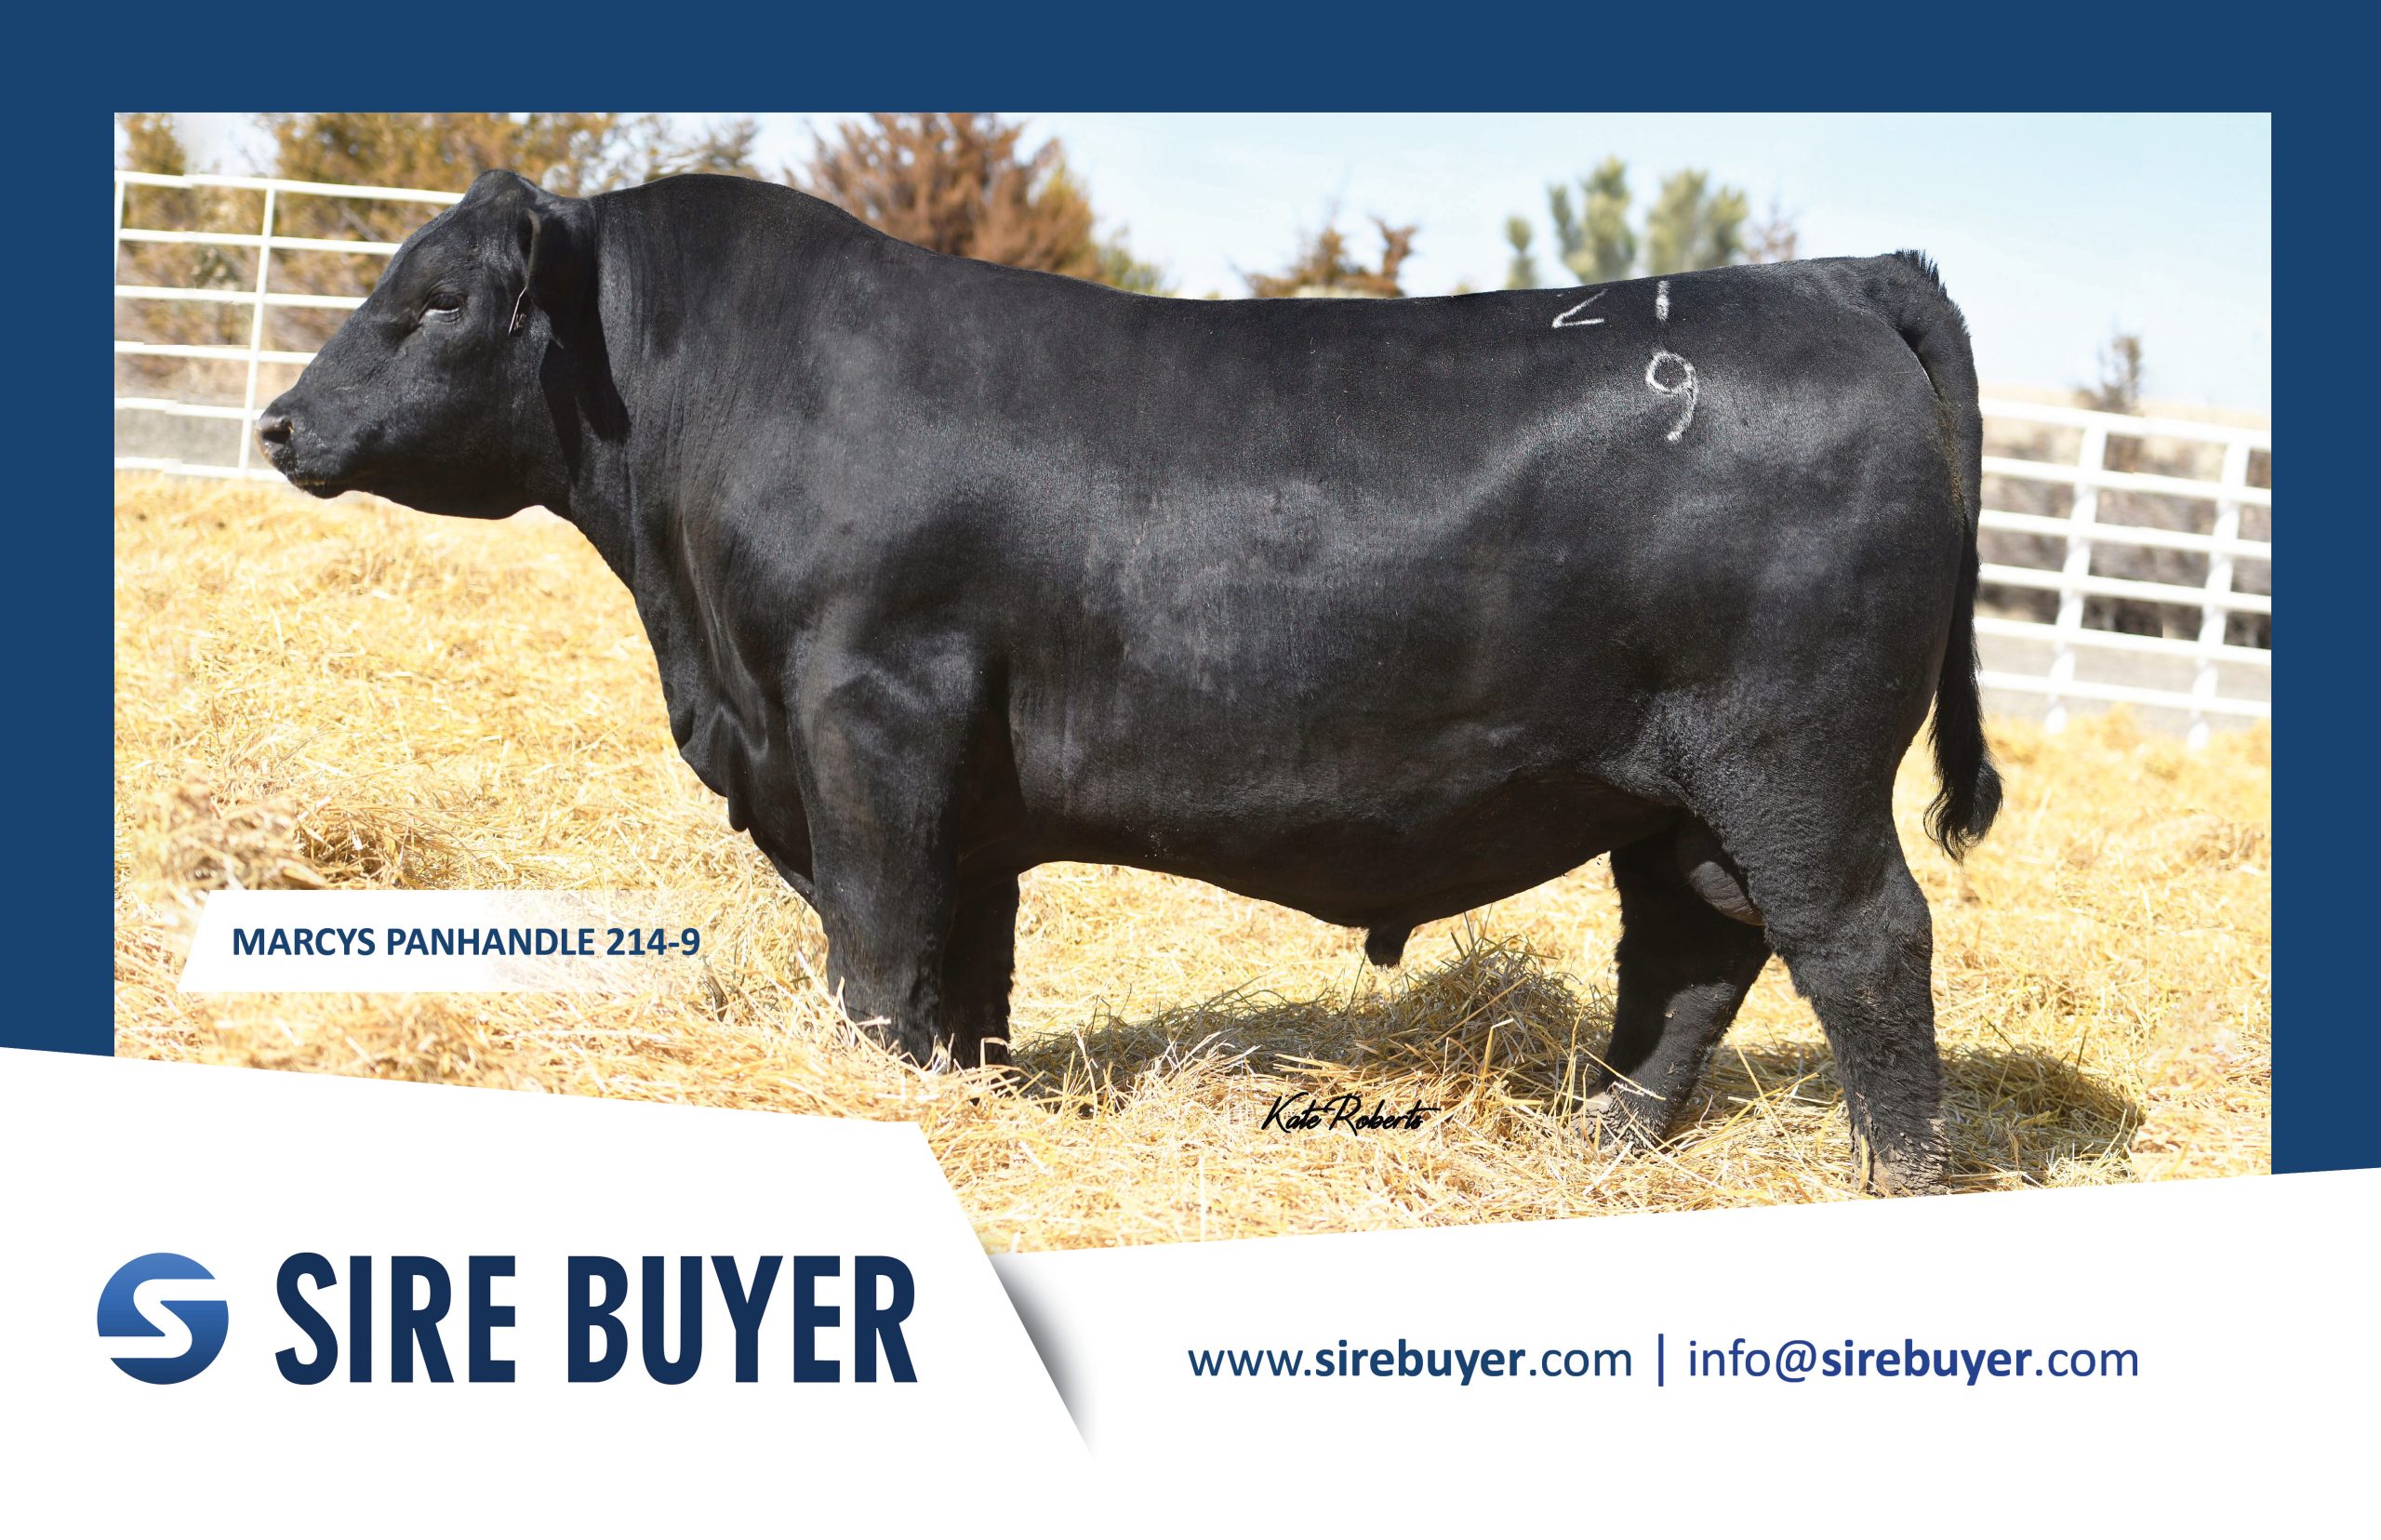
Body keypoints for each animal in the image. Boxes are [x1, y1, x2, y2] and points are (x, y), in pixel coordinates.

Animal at [259, 169, 2001, 1195]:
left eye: (430, 301)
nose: (278, 421)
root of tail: (1835, 277)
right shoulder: (954, 787)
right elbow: (964, 967)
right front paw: (959, 1094)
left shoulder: (867, 721)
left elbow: (877, 946)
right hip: (1673, 783)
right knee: (1697, 944)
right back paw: (1599, 1137)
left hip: (1795, 756)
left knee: (1861, 942)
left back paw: (1893, 1179)